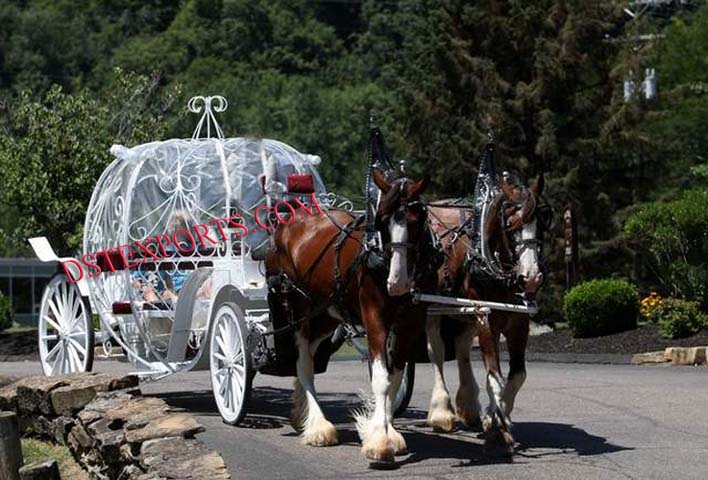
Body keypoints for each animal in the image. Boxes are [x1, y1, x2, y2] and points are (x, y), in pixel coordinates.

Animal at [266, 170, 432, 464]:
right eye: (382, 219)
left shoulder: (409, 325)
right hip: (299, 308)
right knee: (304, 363)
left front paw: (389, 431)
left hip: (328, 312)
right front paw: (379, 441)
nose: (397, 282)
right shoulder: (374, 319)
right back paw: (318, 426)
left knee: (310, 353)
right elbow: (381, 379)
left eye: (417, 220)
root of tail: (290, 221)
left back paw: (301, 413)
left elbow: (396, 378)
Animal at [426, 172, 548, 454]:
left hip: (464, 314)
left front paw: (497, 416)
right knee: (436, 351)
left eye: (542, 223)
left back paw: (469, 407)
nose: (532, 278)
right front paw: (498, 429)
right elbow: (495, 377)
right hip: (433, 308)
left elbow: (517, 376)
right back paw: (441, 413)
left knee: (461, 349)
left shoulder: (519, 324)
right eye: (511, 224)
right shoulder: (486, 320)